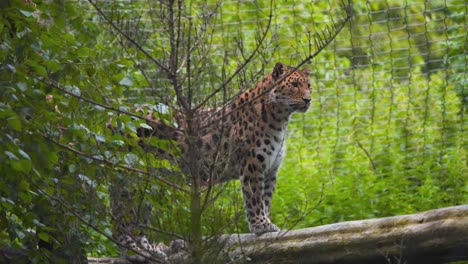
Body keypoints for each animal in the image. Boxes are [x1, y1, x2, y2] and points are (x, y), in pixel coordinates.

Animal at [110, 62, 310, 262]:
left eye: (309, 85)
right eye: (294, 85)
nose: (308, 99)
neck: (280, 118)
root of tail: (113, 120)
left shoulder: (270, 170)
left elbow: (266, 200)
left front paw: (267, 226)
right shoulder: (252, 165)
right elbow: (254, 199)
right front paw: (261, 225)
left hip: (150, 183)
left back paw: (149, 250)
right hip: (132, 177)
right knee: (120, 219)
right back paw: (132, 251)